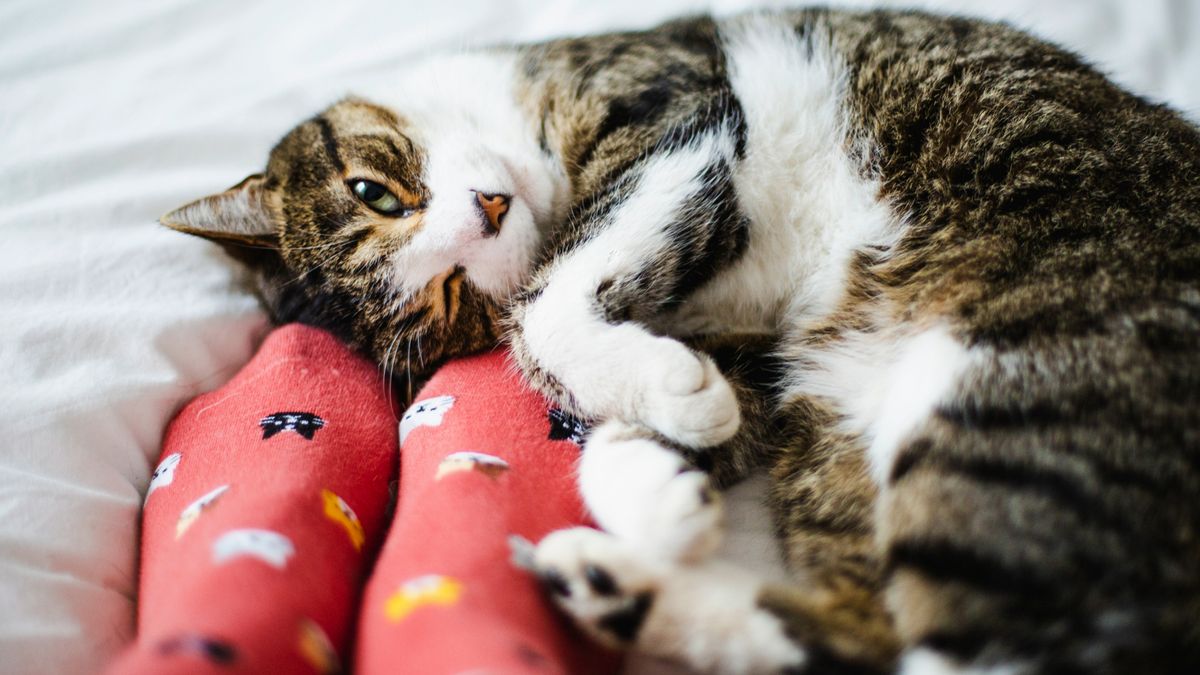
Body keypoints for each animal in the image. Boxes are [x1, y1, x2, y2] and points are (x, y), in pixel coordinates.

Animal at [164, 6, 1200, 672]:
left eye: (377, 191)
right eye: (449, 299)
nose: (489, 211)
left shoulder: (673, 115)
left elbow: (551, 301)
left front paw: (655, 410)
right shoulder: (769, 345)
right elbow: (693, 389)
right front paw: (657, 471)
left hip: (1011, 384)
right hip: (841, 417)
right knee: (868, 632)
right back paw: (614, 585)